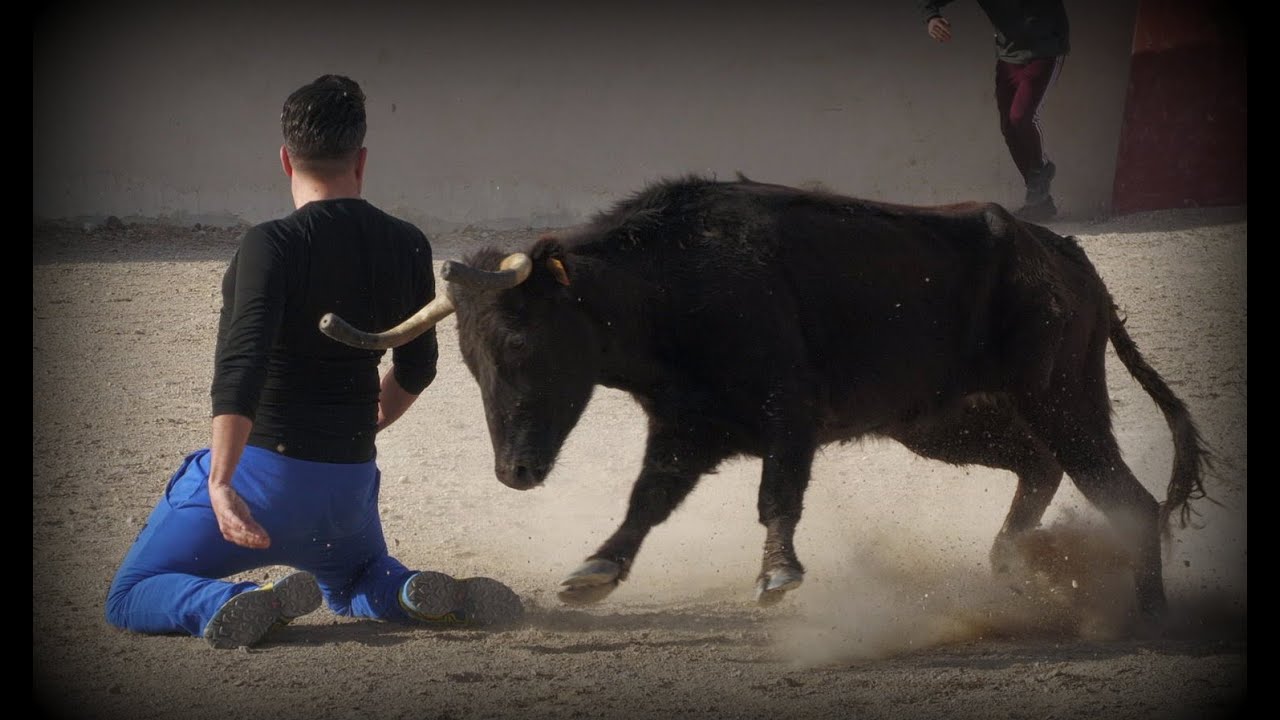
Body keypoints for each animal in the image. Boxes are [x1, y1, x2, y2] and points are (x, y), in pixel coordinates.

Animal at [319, 175, 1208, 619]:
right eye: (466, 364)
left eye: (518, 345)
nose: (513, 473)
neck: (669, 286)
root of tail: (1067, 254)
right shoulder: (685, 428)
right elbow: (646, 501)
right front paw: (593, 572)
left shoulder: (791, 411)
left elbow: (777, 494)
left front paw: (778, 574)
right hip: (944, 421)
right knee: (1039, 469)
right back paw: (1015, 565)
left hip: (1062, 396)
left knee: (1125, 498)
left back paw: (1147, 616)